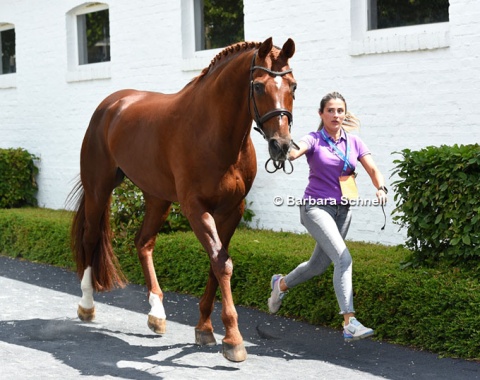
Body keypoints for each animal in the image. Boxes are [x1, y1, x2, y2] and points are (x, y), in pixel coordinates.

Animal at [71, 37, 296, 360]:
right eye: (257, 86)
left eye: (292, 86)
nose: (281, 145)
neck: (213, 132)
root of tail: (111, 104)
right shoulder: (195, 209)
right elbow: (221, 263)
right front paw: (233, 339)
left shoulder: (232, 210)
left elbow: (217, 263)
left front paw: (204, 328)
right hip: (98, 189)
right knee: (90, 238)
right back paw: (87, 305)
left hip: (157, 198)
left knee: (143, 242)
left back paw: (157, 314)